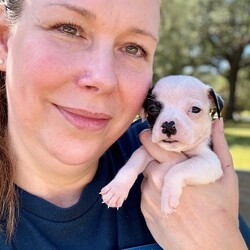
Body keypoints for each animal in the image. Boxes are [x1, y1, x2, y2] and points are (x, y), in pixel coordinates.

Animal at [100, 74, 224, 215]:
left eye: (195, 109)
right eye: (153, 109)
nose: (168, 125)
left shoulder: (210, 161)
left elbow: (177, 169)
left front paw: (168, 195)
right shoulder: (146, 150)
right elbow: (132, 163)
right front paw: (117, 188)